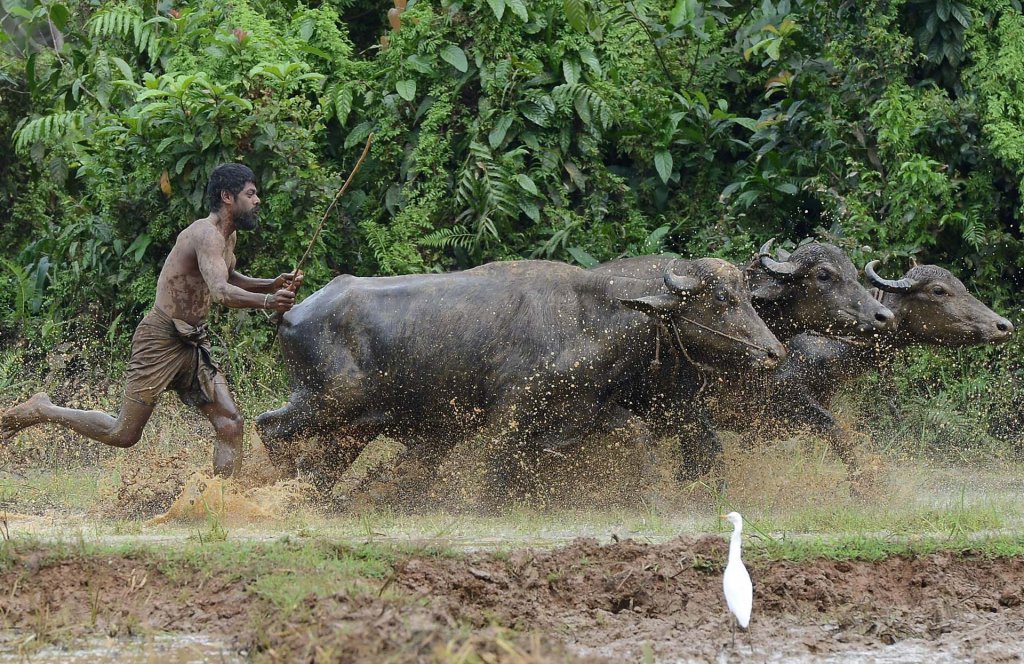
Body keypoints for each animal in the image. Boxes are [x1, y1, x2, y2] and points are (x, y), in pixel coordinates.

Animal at [256, 257, 782, 506]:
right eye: (722, 300)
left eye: (746, 295)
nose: (774, 352)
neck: (589, 318)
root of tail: (291, 312)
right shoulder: (512, 411)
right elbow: (495, 463)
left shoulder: (582, 410)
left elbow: (638, 436)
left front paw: (651, 493)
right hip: (322, 404)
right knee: (268, 427)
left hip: (351, 428)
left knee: (319, 466)